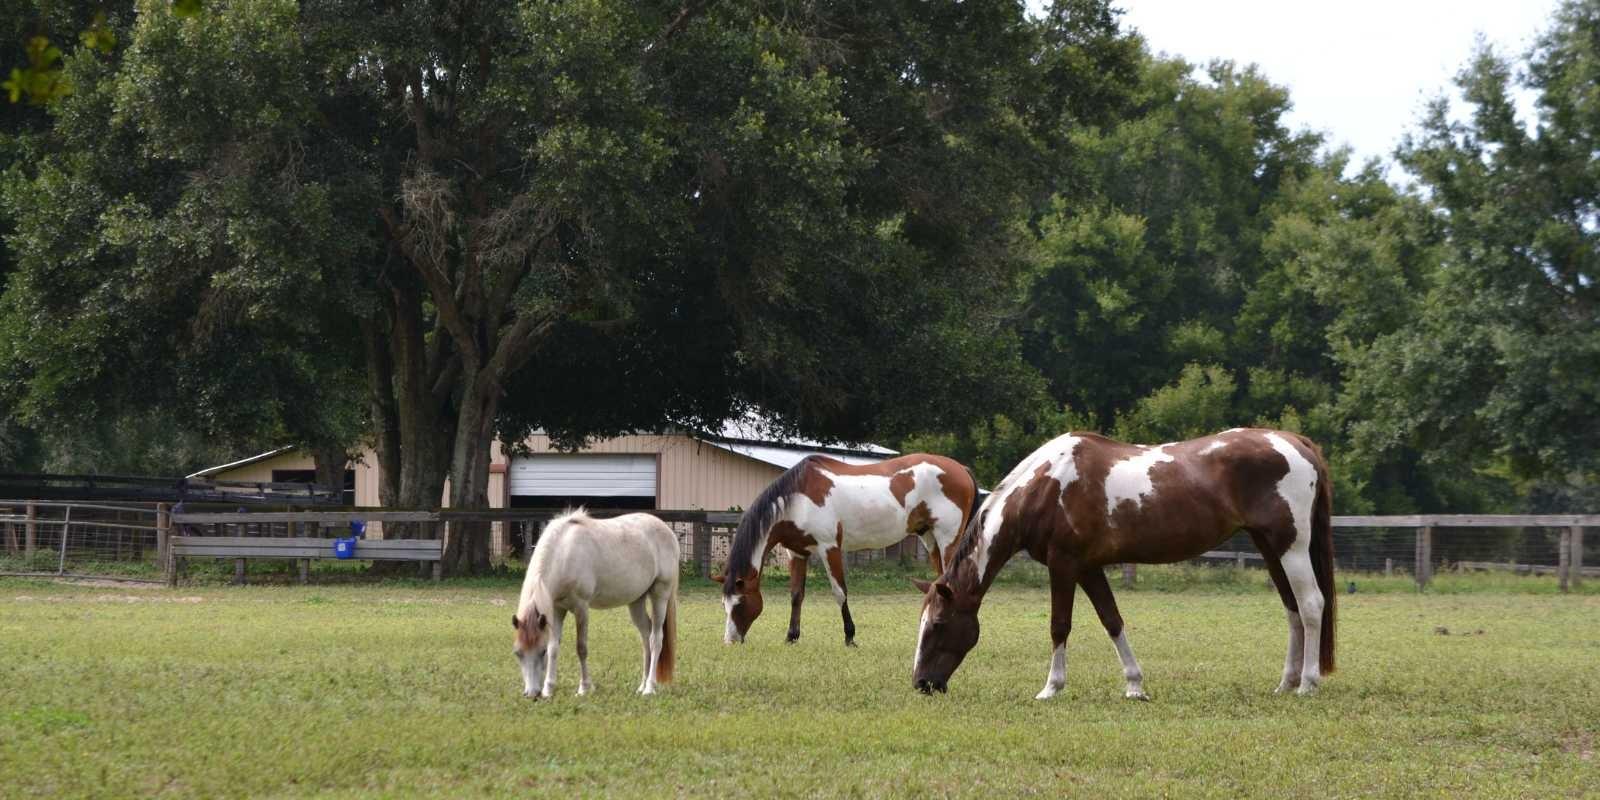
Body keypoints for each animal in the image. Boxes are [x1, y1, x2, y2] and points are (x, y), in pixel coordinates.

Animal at [512, 509, 678, 698]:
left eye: (541, 652)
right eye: (518, 653)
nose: (532, 694)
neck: (564, 552)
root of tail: (667, 530)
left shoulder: (581, 608)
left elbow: (581, 648)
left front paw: (584, 688)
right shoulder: (557, 609)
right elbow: (554, 646)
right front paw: (548, 689)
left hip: (660, 595)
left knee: (655, 639)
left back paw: (650, 687)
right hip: (636, 601)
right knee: (646, 636)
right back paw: (642, 686)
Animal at [716, 453, 980, 646]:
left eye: (740, 603)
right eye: (723, 605)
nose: (730, 641)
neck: (799, 498)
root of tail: (961, 469)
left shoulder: (829, 547)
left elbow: (840, 592)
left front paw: (850, 636)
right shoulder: (798, 553)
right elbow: (796, 595)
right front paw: (791, 636)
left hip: (947, 541)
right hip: (931, 540)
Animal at [912, 428, 1335, 699]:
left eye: (938, 624)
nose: (922, 685)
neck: (1046, 487)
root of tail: (1295, 441)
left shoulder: (1063, 565)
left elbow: (1059, 626)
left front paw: (1051, 687)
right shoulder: (1088, 567)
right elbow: (1112, 620)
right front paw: (1135, 685)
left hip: (1291, 546)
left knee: (1311, 605)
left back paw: (1308, 684)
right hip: (1270, 547)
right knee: (1292, 609)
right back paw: (1286, 683)